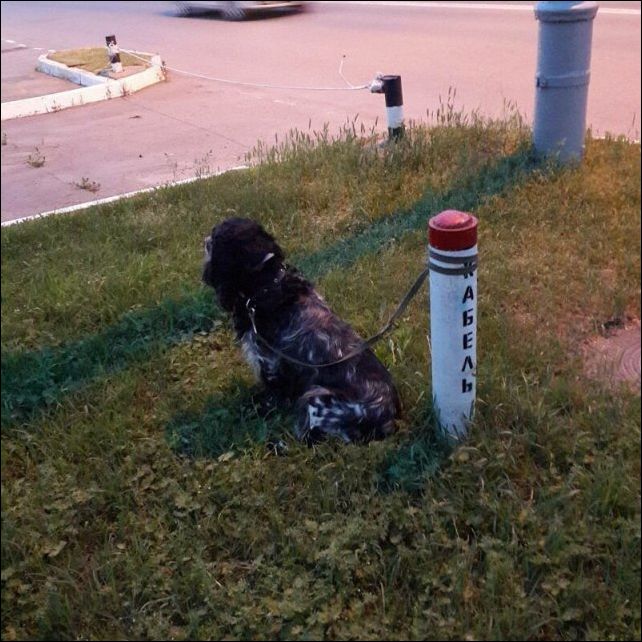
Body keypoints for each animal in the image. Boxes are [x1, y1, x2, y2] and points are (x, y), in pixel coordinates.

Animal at [202, 218, 400, 444]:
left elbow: (271, 397)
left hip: (317, 397)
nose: (205, 239)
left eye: (215, 237)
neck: (268, 283)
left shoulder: (269, 362)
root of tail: (389, 421)